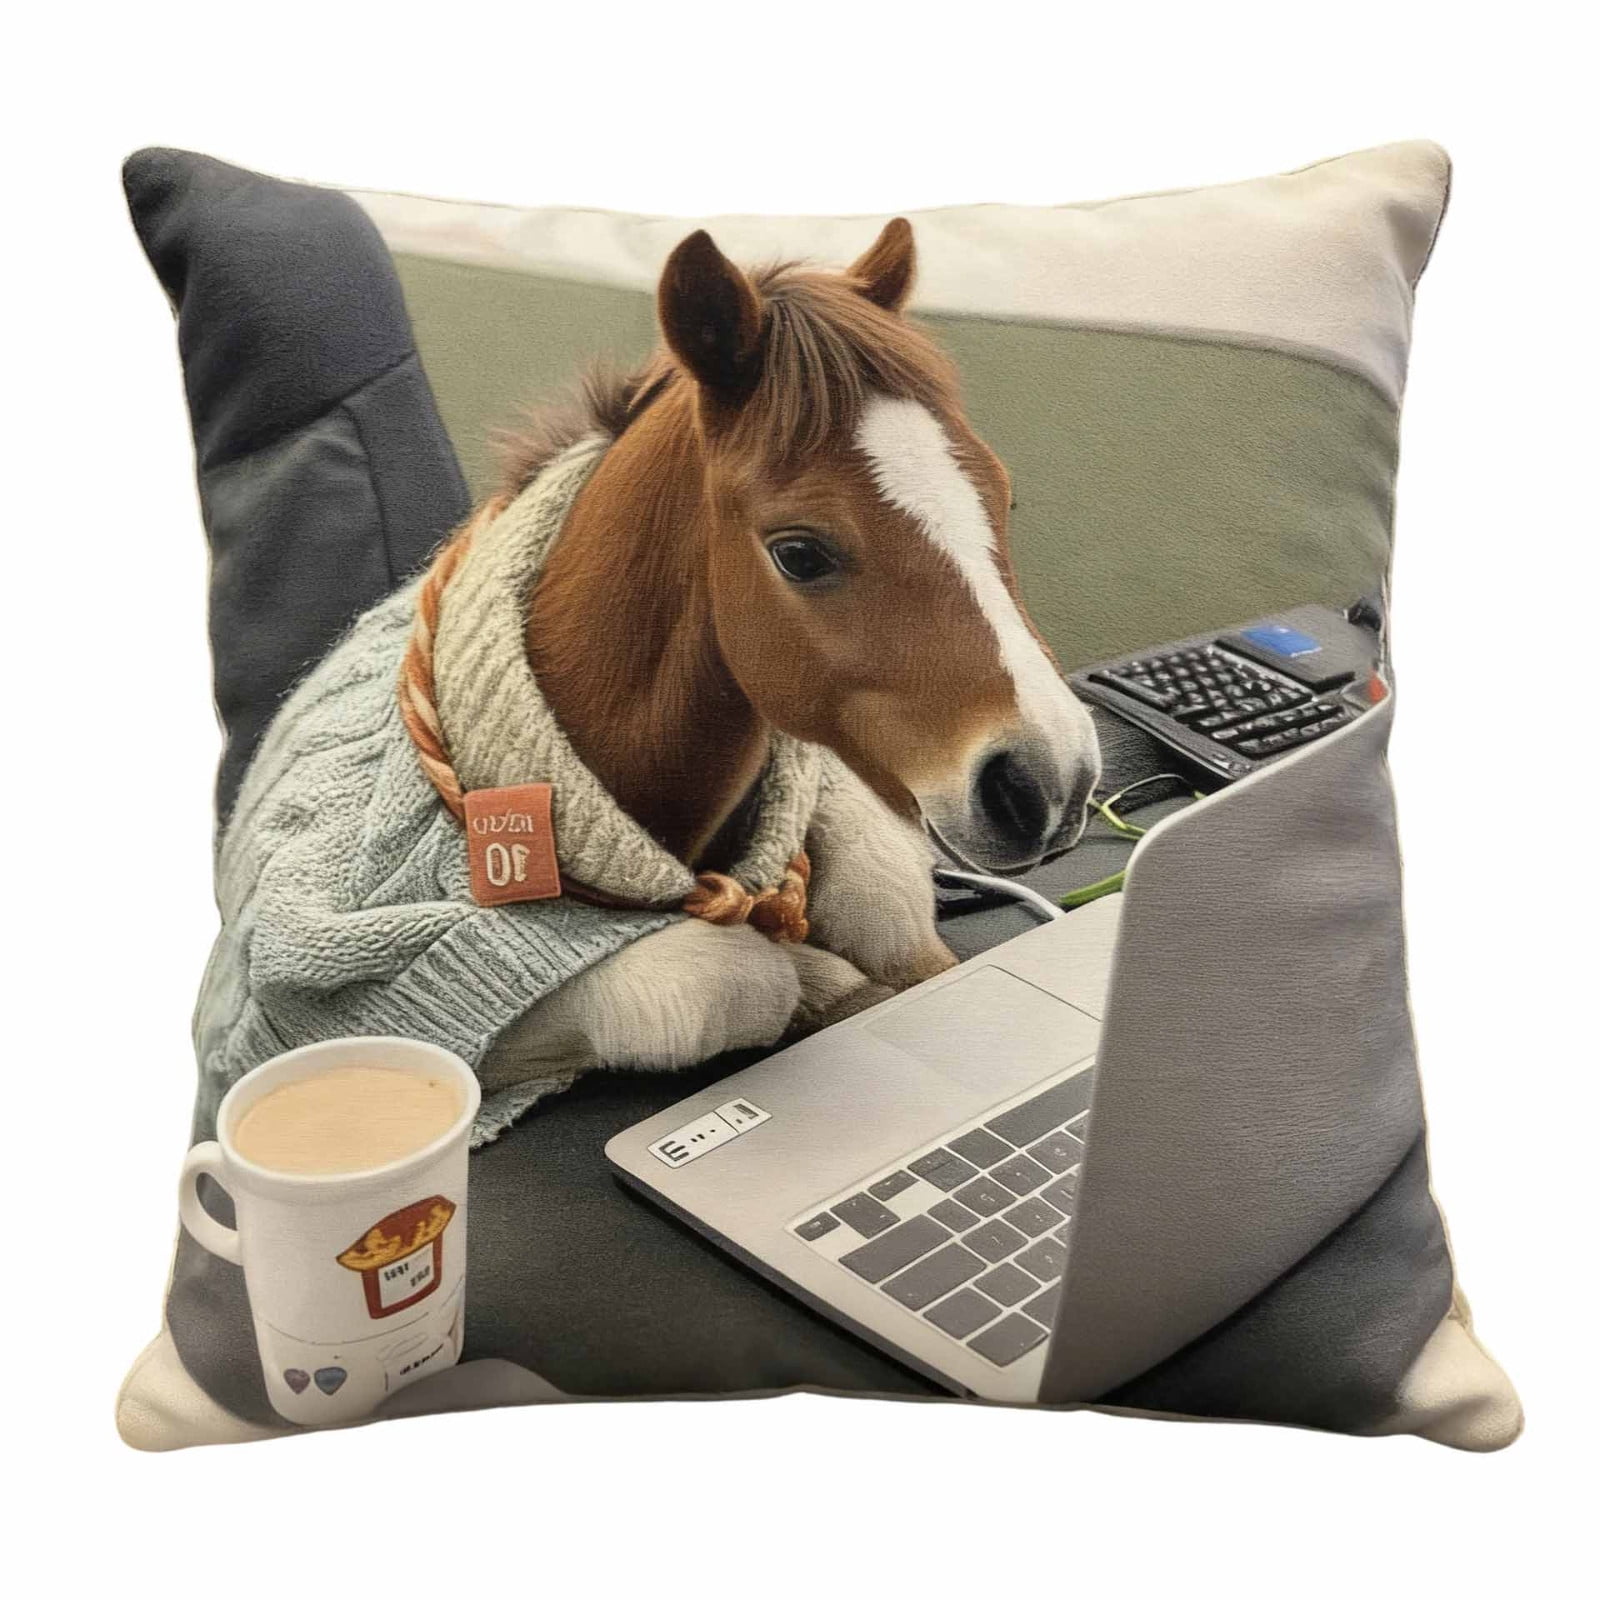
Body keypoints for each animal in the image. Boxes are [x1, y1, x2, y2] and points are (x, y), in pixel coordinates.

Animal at [482, 219, 1102, 1084]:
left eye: (1003, 499)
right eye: (800, 554)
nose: (1051, 783)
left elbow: (888, 902)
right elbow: (727, 981)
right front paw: (827, 985)